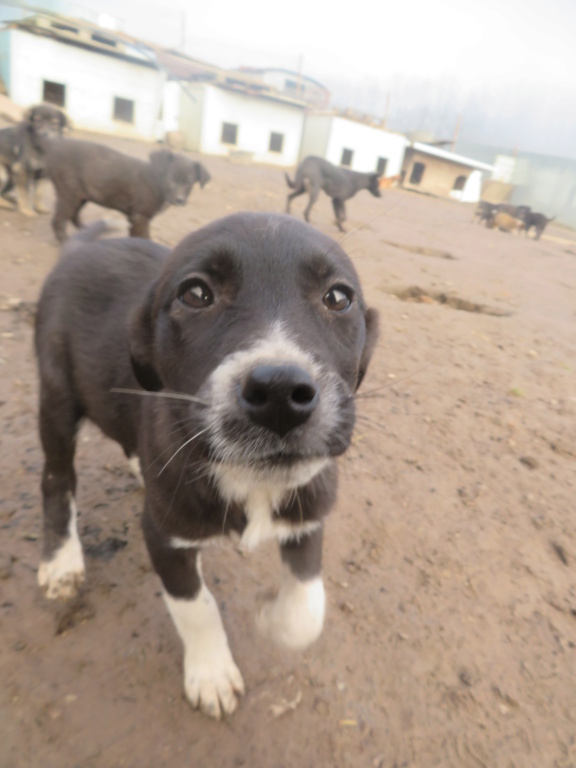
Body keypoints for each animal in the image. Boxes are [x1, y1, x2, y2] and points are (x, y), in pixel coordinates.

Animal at [35, 214, 378, 720]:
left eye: (338, 297)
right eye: (196, 294)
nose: (280, 394)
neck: (252, 478)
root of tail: (79, 250)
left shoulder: (309, 511)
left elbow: (307, 607)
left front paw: (270, 616)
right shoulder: (164, 535)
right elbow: (196, 606)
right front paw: (212, 673)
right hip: (57, 397)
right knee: (57, 479)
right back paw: (61, 561)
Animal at [44, 140, 212, 242]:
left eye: (189, 183)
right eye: (170, 179)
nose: (179, 199)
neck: (157, 181)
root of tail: (54, 147)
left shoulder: (134, 217)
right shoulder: (140, 217)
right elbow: (144, 239)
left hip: (81, 195)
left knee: (73, 215)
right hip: (70, 193)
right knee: (58, 220)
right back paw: (64, 241)